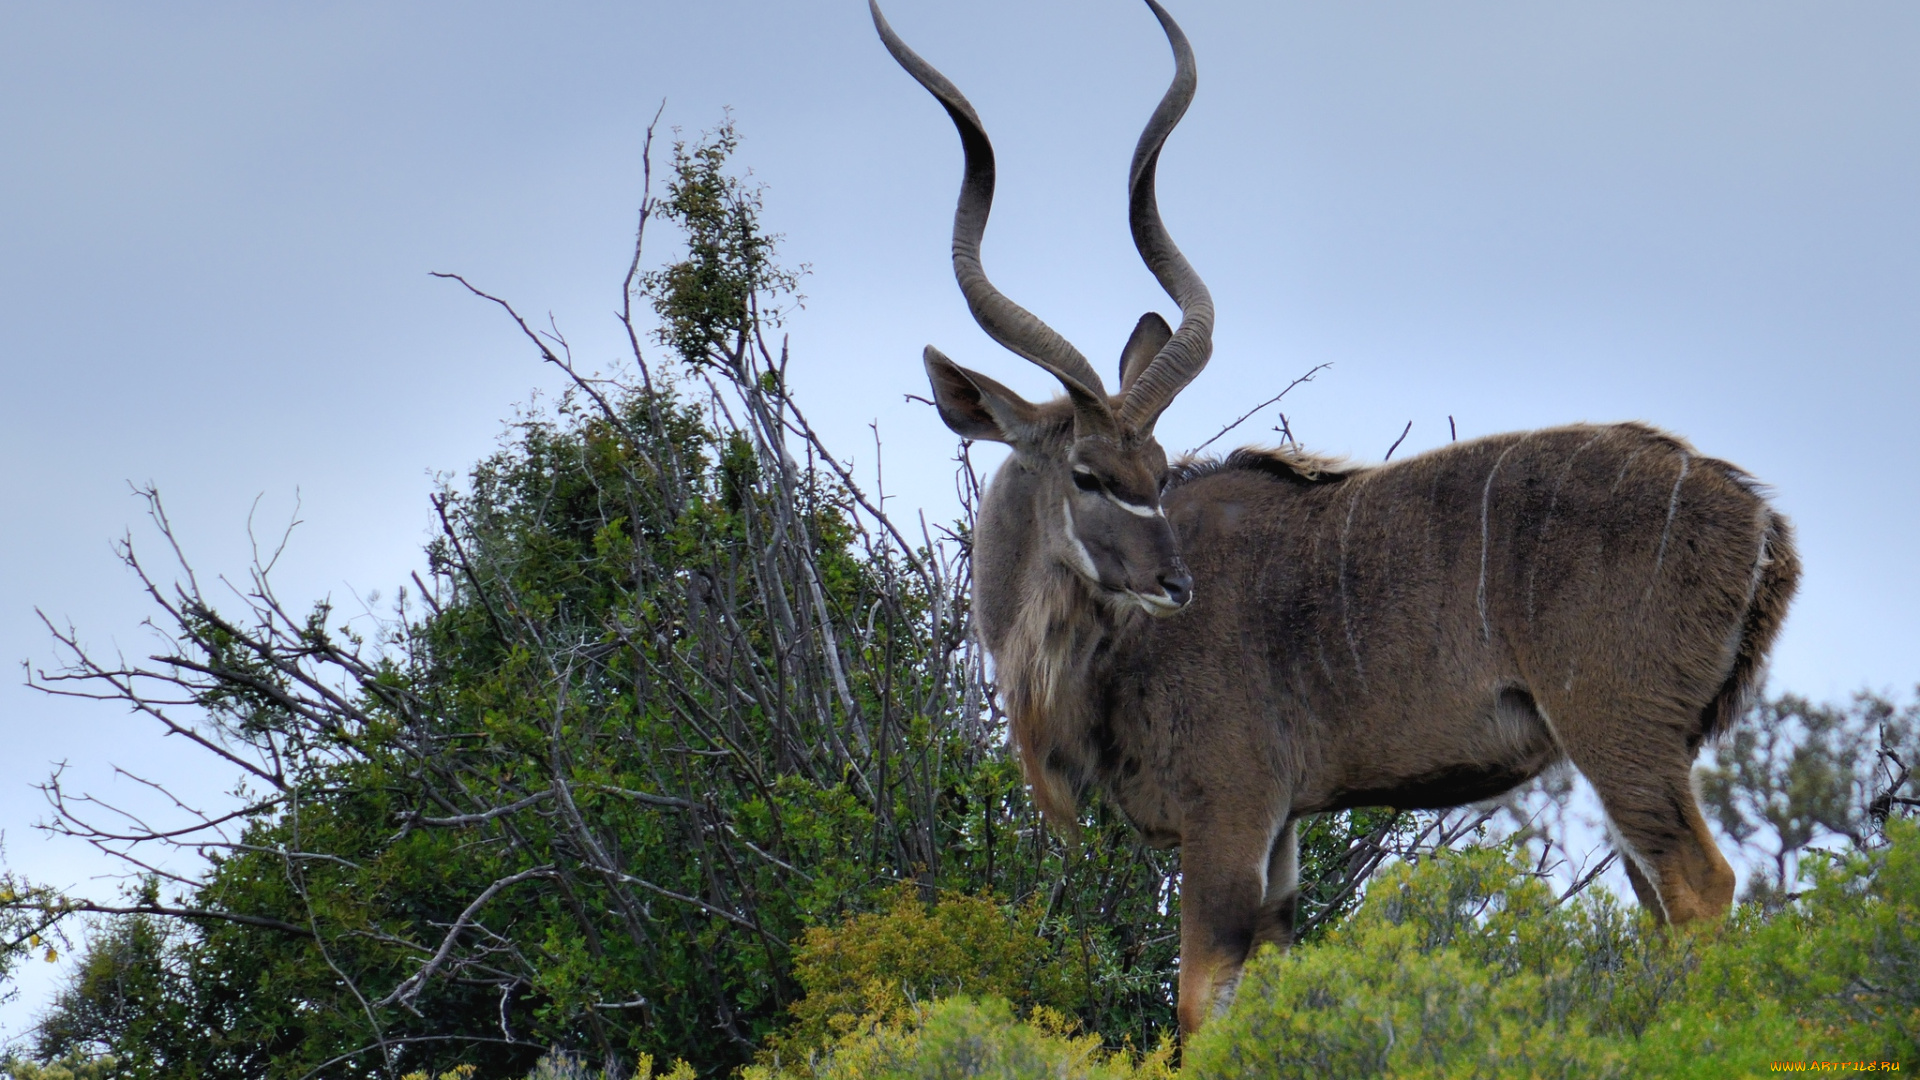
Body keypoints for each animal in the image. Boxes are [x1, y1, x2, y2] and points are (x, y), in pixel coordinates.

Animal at [871, 0, 1797, 1030]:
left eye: (1154, 468)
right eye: (1089, 472)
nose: (1174, 584)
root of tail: (1756, 519)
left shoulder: (1230, 813)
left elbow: (1200, 1006)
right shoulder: (1281, 832)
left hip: (1618, 733)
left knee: (1699, 888)